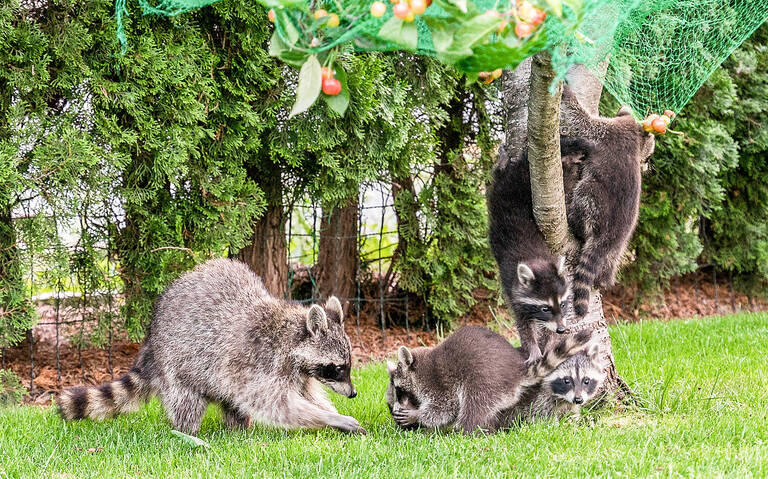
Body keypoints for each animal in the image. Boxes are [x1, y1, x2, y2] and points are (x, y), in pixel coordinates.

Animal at [57, 260, 364, 436]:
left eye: (347, 366)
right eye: (337, 368)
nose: (353, 393)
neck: (289, 336)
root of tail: (152, 340)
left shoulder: (297, 371)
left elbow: (306, 394)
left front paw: (329, 410)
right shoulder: (259, 362)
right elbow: (277, 405)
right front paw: (330, 418)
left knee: (231, 400)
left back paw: (238, 429)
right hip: (177, 363)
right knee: (186, 401)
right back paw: (187, 433)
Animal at [384, 326, 592, 436]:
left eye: (399, 391)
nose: (395, 413)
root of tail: (517, 369)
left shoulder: (438, 382)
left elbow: (444, 409)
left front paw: (416, 415)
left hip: (484, 378)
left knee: (473, 406)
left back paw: (465, 432)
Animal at [560, 87, 656, 318]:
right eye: (648, 156)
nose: (645, 165)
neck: (635, 131)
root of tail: (608, 239)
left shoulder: (606, 131)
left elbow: (581, 120)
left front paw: (566, 92)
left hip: (595, 203)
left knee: (585, 193)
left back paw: (574, 218)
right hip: (620, 245)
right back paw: (604, 277)